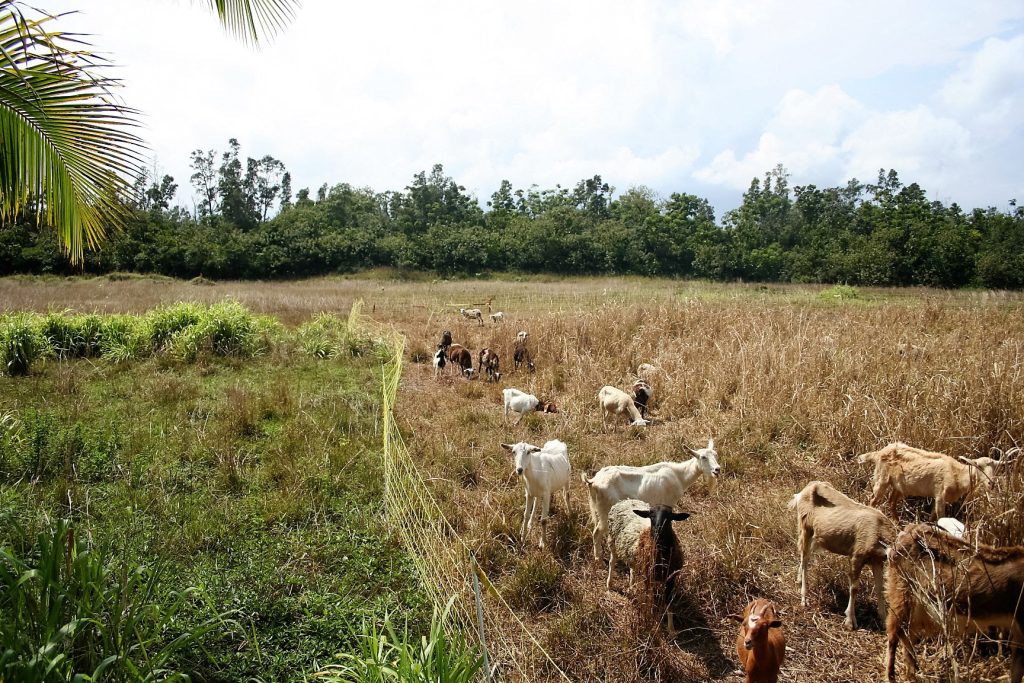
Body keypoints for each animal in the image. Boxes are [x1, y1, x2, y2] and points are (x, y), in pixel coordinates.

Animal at [583, 438, 719, 561]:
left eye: (716, 455)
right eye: (703, 457)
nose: (717, 469)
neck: (679, 475)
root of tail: (593, 481)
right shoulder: (668, 503)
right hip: (605, 511)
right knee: (597, 532)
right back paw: (599, 559)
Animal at [606, 499, 689, 633]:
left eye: (670, 517)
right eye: (651, 515)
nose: (657, 530)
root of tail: (626, 500)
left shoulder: (671, 578)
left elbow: (669, 603)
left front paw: (671, 630)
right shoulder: (648, 578)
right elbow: (649, 600)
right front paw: (652, 622)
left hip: (634, 555)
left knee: (632, 569)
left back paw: (632, 586)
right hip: (612, 541)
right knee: (612, 562)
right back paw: (609, 584)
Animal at [788, 480, 892, 630]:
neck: (878, 530)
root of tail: (802, 492)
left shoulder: (877, 560)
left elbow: (880, 588)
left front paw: (884, 620)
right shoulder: (856, 555)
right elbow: (854, 588)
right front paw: (850, 621)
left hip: (814, 536)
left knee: (804, 557)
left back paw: (798, 580)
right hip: (805, 527)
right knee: (805, 558)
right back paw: (804, 599)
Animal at [858, 442, 1014, 520]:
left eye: (997, 468)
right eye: (978, 466)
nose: (991, 483)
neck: (957, 474)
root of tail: (879, 452)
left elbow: (933, 517)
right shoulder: (940, 494)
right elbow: (940, 517)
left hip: (899, 486)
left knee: (891, 502)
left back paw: (897, 524)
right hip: (881, 479)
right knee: (872, 501)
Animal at [885, 522, 1024, 683]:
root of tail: (906, 533)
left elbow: (1016, 671)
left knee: (908, 634)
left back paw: (912, 674)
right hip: (900, 593)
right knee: (893, 633)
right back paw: (891, 676)